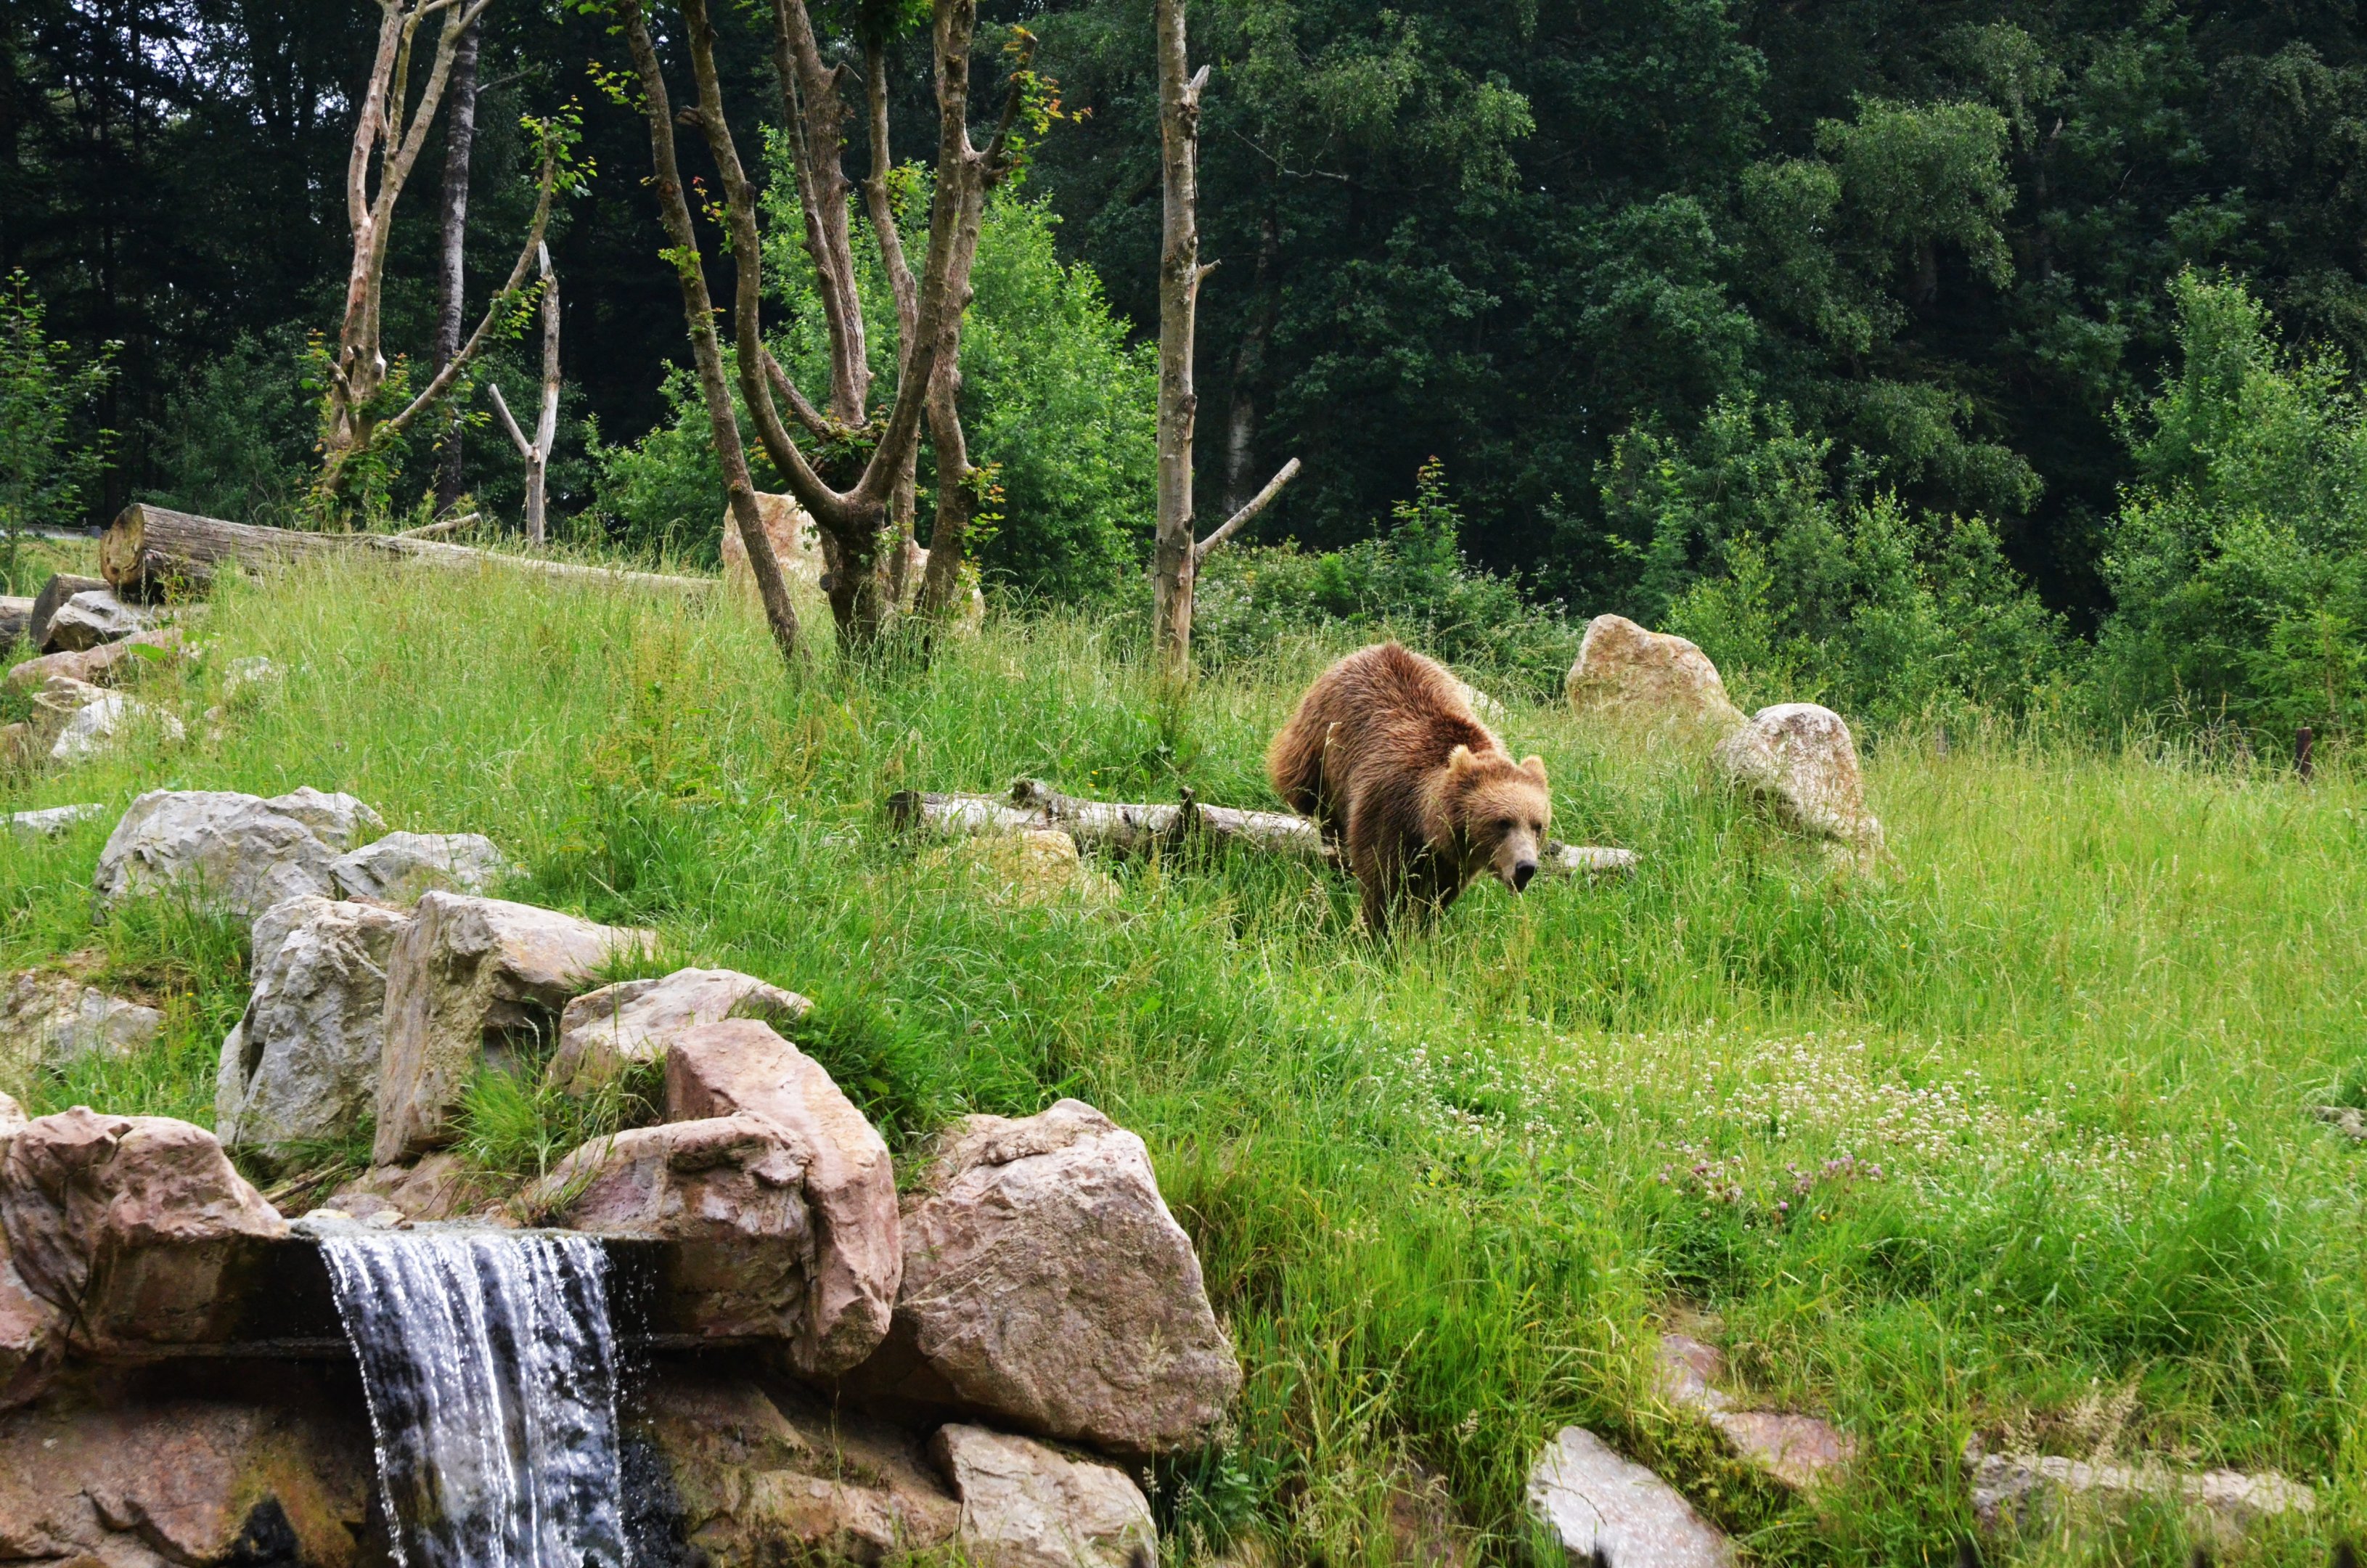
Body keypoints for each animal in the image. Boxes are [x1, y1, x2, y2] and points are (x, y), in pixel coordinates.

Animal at [1266, 642, 1552, 934]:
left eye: (1538, 825)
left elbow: (1440, 893)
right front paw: (1380, 930)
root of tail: (1377, 647)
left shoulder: (1453, 857)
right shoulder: (1388, 809)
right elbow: (1383, 881)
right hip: (1320, 743)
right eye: (1502, 822)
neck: (1426, 821)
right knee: (1311, 794)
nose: (1525, 867)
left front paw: (1424, 926)